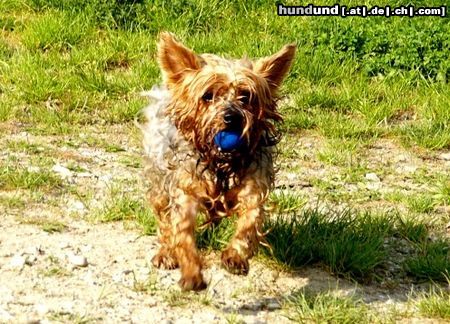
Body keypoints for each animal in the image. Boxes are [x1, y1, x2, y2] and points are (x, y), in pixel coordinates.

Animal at [141, 33, 296, 292]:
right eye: (208, 95)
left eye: (246, 96)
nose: (231, 116)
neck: (221, 162)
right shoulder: (186, 189)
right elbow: (182, 232)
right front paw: (191, 271)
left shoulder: (253, 188)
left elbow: (249, 221)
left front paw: (235, 255)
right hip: (160, 179)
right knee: (164, 219)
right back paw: (166, 253)